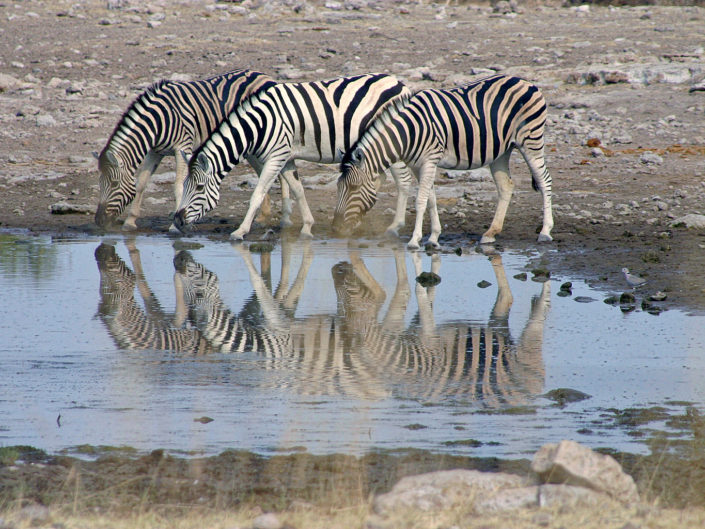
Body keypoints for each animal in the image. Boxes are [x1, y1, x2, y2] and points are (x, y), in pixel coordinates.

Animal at [94, 69, 299, 232]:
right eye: (100, 183)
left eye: (114, 183)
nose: (99, 221)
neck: (158, 120)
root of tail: (265, 76)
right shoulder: (155, 151)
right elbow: (142, 183)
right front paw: (130, 222)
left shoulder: (181, 147)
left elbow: (178, 186)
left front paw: (173, 226)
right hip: (251, 147)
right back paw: (263, 217)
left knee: (280, 176)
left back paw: (285, 219)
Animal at [172, 73, 440, 241]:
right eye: (185, 185)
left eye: (198, 188)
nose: (177, 219)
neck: (258, 126)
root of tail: (398, 82)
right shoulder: (287, 157)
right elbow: (298, 189)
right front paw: (308, 227)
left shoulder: (276, 156)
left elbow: (257, 194)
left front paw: (240, 231)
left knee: (404, 182)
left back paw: (395, 227)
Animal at [332, 74, 554, 249]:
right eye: (339, 187)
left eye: (354, 187)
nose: (336, 227)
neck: (409, 132)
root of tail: (526, 81)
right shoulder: (417, 166)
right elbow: (431, 199)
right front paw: (433, 237)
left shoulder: (429, 161)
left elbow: (420, 200)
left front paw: (414, 240)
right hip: (501, 151)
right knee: (506, 186)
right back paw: (491, 233)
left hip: (531, 140)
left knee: (544, 181)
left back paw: (545, 232)